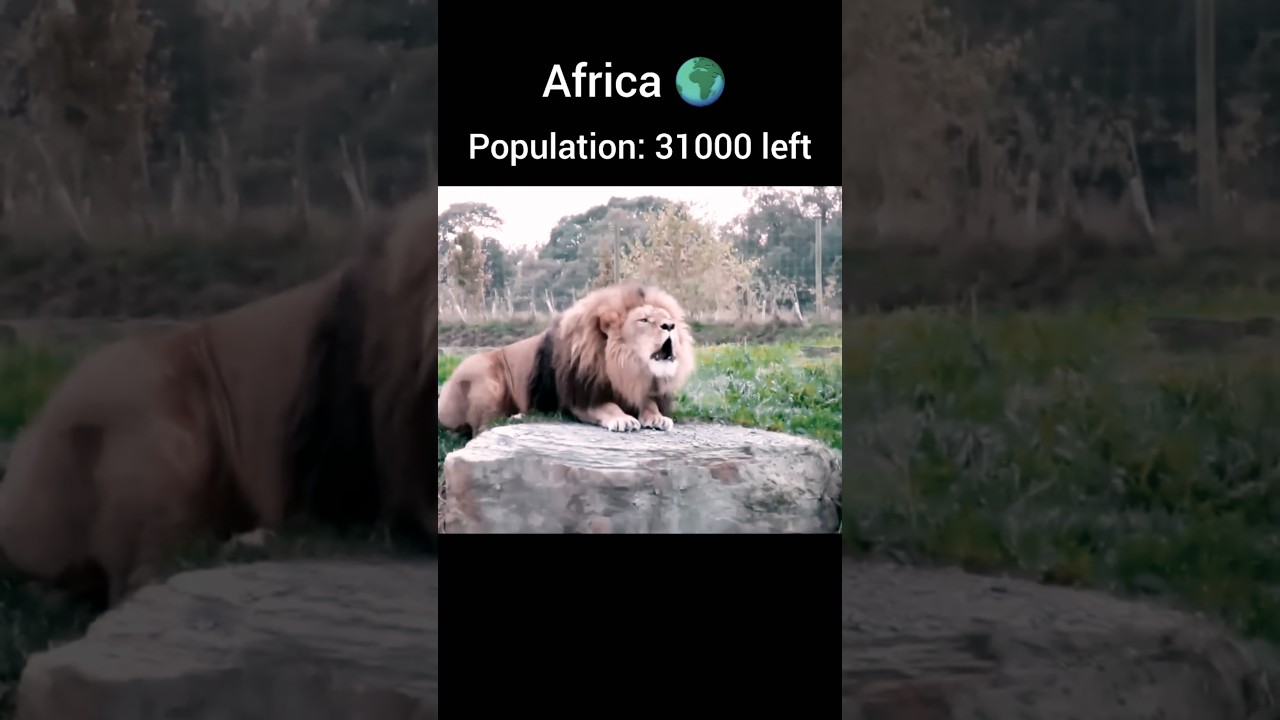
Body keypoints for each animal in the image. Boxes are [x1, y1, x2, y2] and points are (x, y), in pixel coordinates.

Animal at [438, 282, 695, 436]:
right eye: (644, 320)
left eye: (668, 318)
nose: (670, 326)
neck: (625, 367)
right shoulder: (579, 397)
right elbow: (607, 406)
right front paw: (623, 419)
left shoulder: (639, 387)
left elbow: (649, 403)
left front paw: (658, 417)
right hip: (485, 377)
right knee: (482, 426)